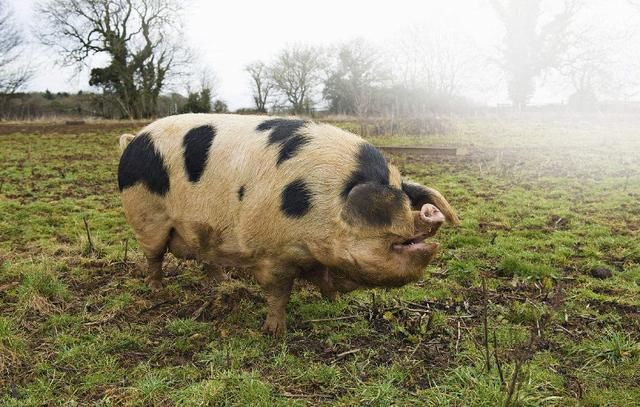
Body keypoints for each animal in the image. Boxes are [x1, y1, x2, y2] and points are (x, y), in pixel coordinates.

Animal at [119, 114, 460, 334]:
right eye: (393, 212)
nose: (430, 211)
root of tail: (133, 140)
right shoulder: (272, 254)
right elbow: (279, 292)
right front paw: (274, 332)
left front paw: (334, 302)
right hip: (146, 217)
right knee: (154, 256)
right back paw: (156, 290)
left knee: (206, 256)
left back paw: (218, 282)